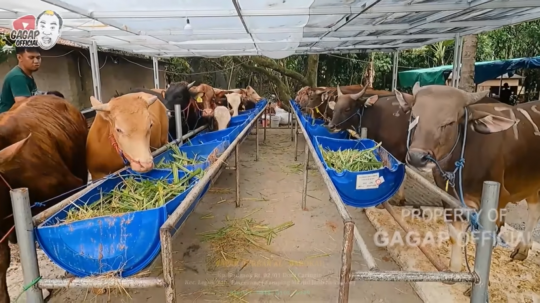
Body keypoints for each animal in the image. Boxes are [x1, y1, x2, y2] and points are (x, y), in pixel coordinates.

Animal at [392, 83, 540, 274]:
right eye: (413, 117)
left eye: (449, 122)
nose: (417, 157)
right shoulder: (450, 200)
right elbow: (455, 237)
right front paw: (454, 270)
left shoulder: (497, 203)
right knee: (535, 208)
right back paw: (522, 250)